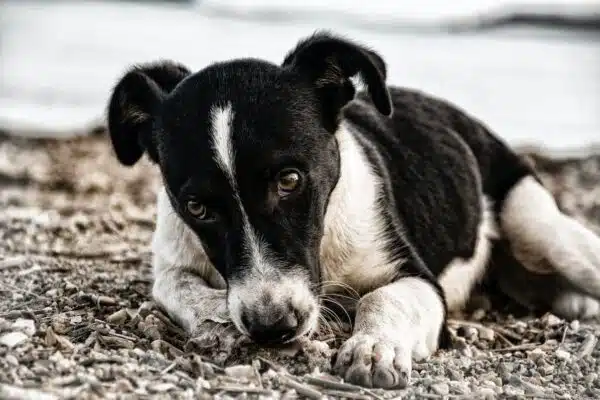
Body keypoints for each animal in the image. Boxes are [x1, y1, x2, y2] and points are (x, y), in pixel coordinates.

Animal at [105, 32, 600, 390]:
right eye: (197, 207)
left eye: (290, 180)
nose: (272, 327)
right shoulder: (172, 261)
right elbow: (179, 288)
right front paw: (218, 321)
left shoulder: (417, 279)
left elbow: (382, 297)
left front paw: (373, 348)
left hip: (539, 228)